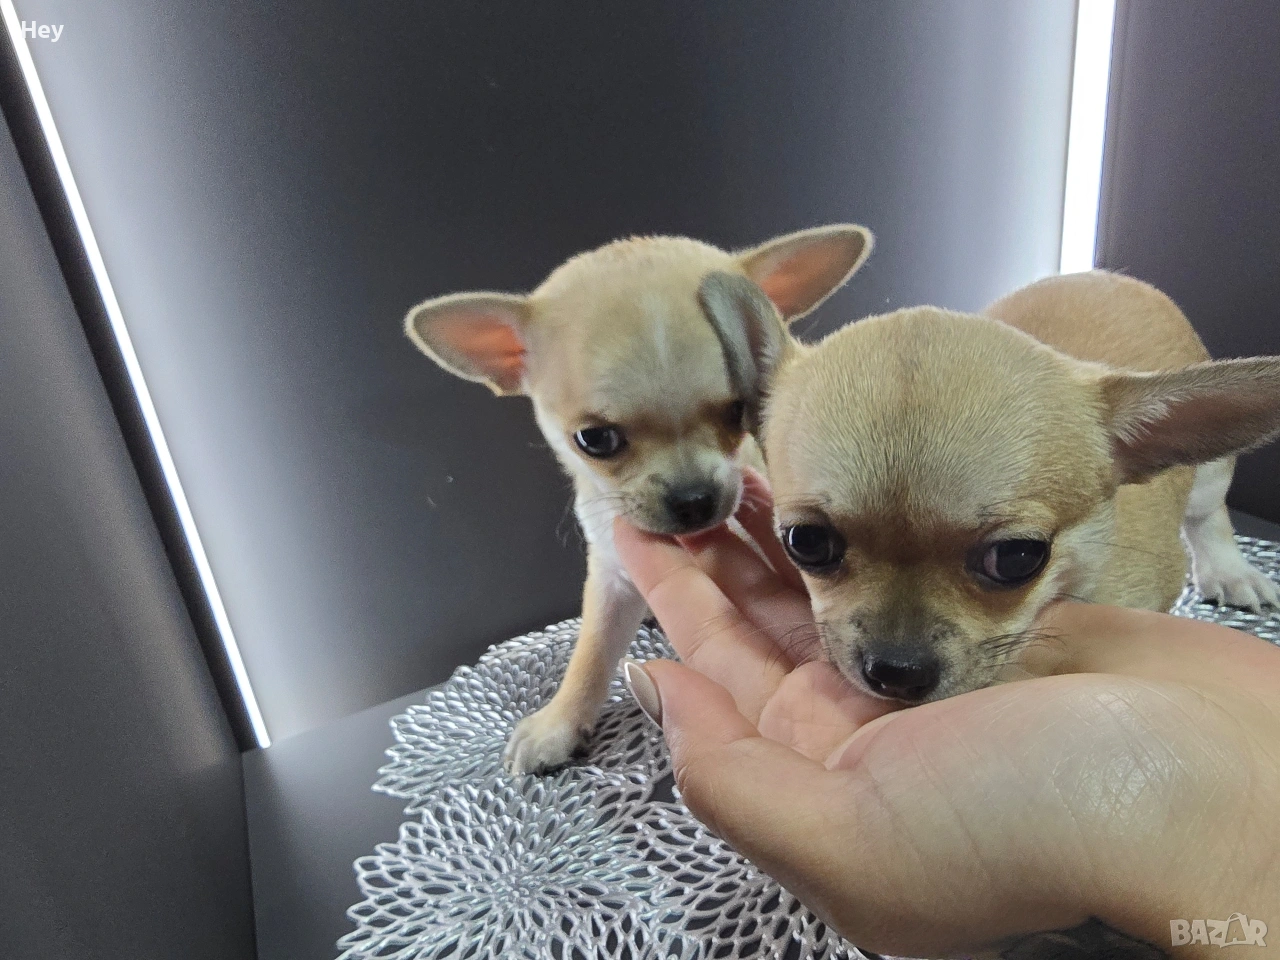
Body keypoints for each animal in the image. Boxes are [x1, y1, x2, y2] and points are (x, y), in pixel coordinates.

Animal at [404, 224, 872, 770]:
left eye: (739, 412)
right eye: (595, 439)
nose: (693, 499)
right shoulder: (611, 573)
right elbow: (592, 648)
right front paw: (560, 720)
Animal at [698, 268, 1280, 703]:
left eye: (1017, 557)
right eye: (807, 543)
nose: (897, 671)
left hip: (1209, 477)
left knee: (1209, 515)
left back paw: (1229, 570)